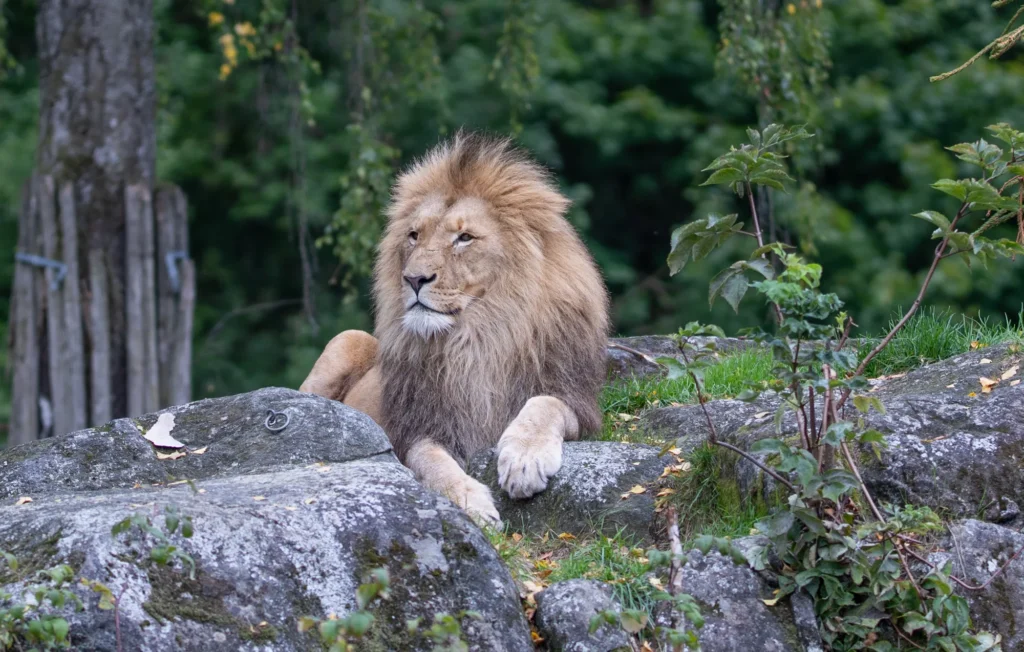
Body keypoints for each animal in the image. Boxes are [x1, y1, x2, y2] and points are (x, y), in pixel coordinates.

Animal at [299, 131, 609, 524]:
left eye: (464, 238)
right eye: (414, 235)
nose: (414, 279)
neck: (479, 337)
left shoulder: (579, 404)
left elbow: (545, 404)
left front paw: (524, 460)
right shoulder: (421, 428)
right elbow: (431, 461)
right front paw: (472, 502)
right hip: (347, 341)